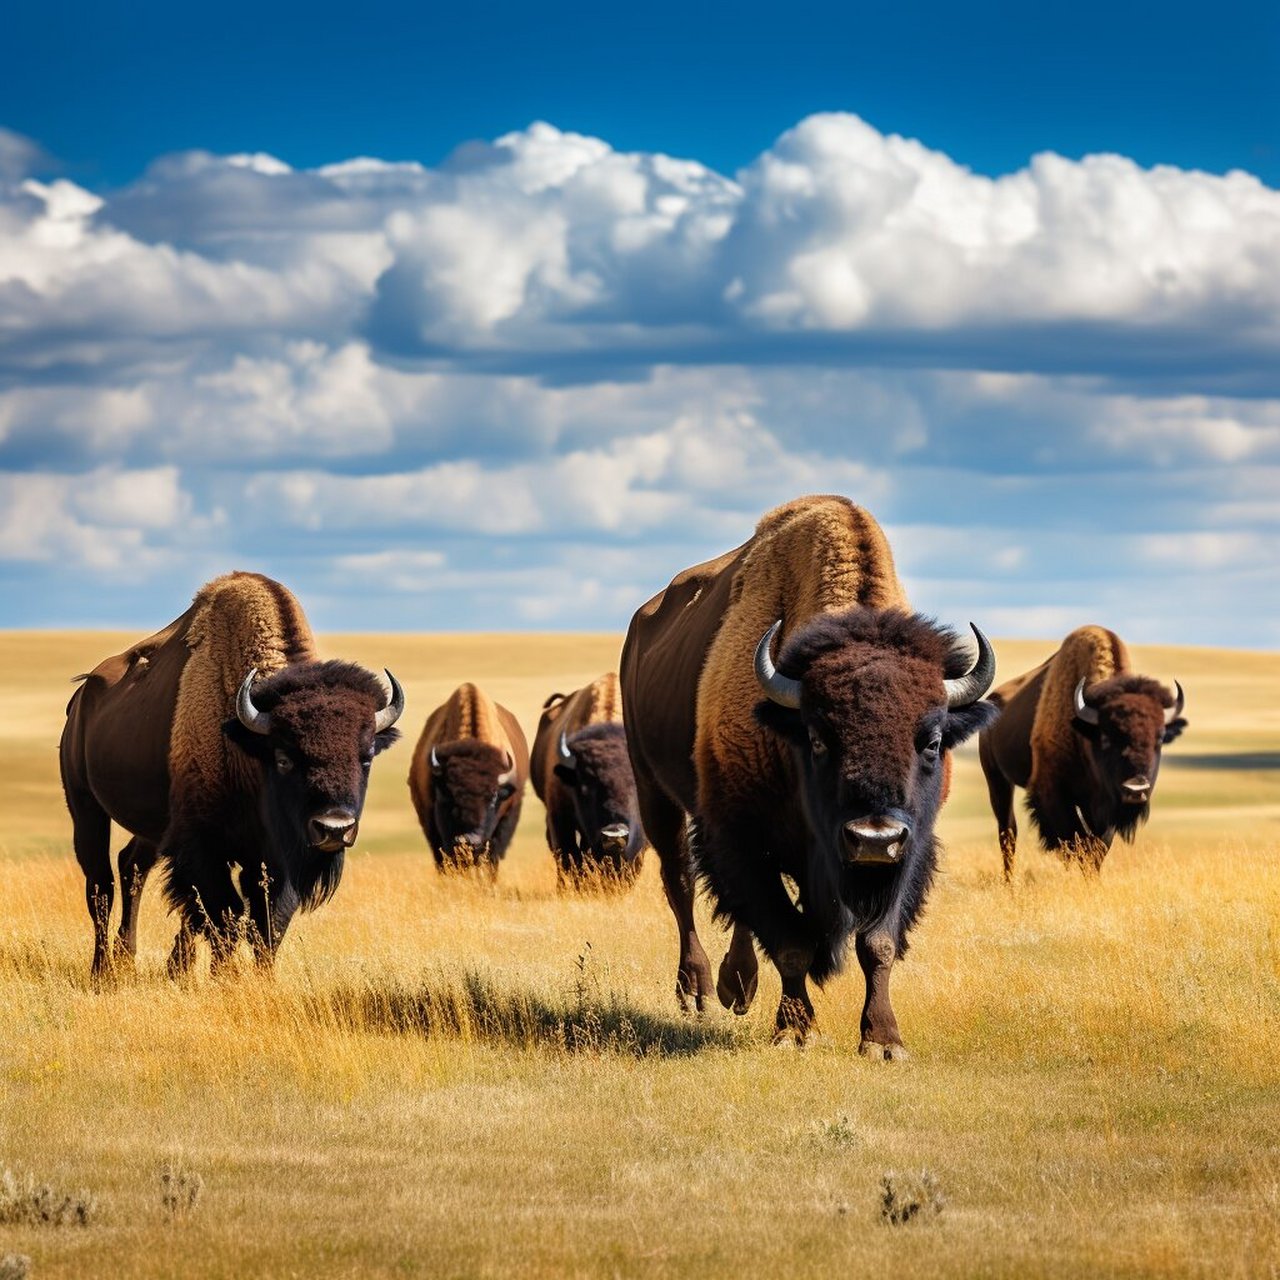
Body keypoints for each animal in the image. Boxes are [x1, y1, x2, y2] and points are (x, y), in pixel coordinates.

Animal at [56, 570, 399, 977]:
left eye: (366, 757)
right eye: (283, 758)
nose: (334, 828)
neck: (246, 740)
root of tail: (80, 700)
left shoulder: (271, 856)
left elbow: (267, 922)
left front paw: (257, 979)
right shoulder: (204, 844)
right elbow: (226, 914)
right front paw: (224, 978)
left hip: (153, 827)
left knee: (132, 866)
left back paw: (134, 958)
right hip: (85, 806)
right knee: (100, 885)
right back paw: (103, 970)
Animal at [619, 494, 998, 1054]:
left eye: (932, 742)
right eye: (818, 739)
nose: (873, 838)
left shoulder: (908, 852)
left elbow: (877, 943)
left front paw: (883, 1040)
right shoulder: (738, 833)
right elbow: (791, 942)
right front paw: (797, 1032)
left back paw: (737, 987)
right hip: (653, 790)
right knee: (680, 883)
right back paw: (700, 991)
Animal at [977, 622, 1187, 880]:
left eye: (1159, 738)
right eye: (1106, 736)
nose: (1135, 789)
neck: (1084, 730)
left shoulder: (1101, 805)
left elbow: (1097, 846)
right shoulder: (1054, 794)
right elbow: (1075, 842)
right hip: (997, 779)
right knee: (1007, 831)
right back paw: (1010, 882)